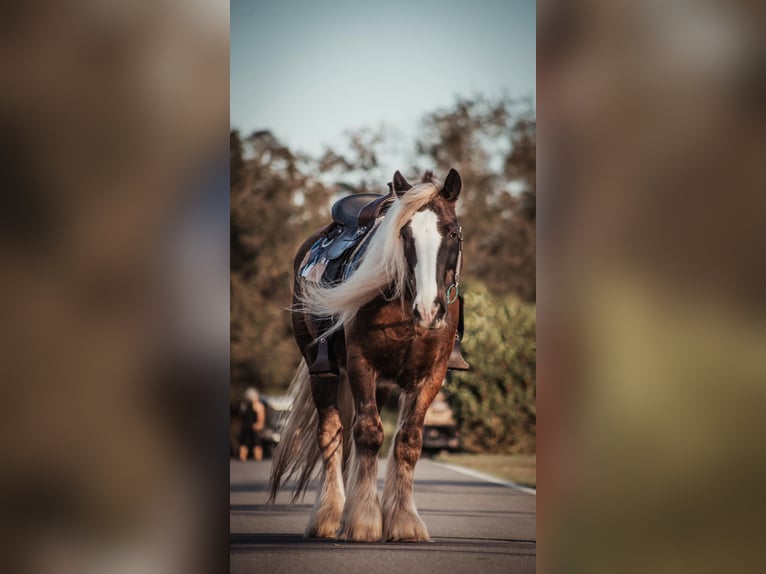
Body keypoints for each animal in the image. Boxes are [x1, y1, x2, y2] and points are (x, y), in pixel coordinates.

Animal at [268, 168, 464, 544]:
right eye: (404, 233)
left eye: (452, 232)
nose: (429, 310)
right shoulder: (361, 365)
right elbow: (369, 434)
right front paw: (362, 521)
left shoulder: (431, 375)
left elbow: (408, 441)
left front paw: (403, 521)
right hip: (323, 371)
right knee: (331, 433)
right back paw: (329, 514)